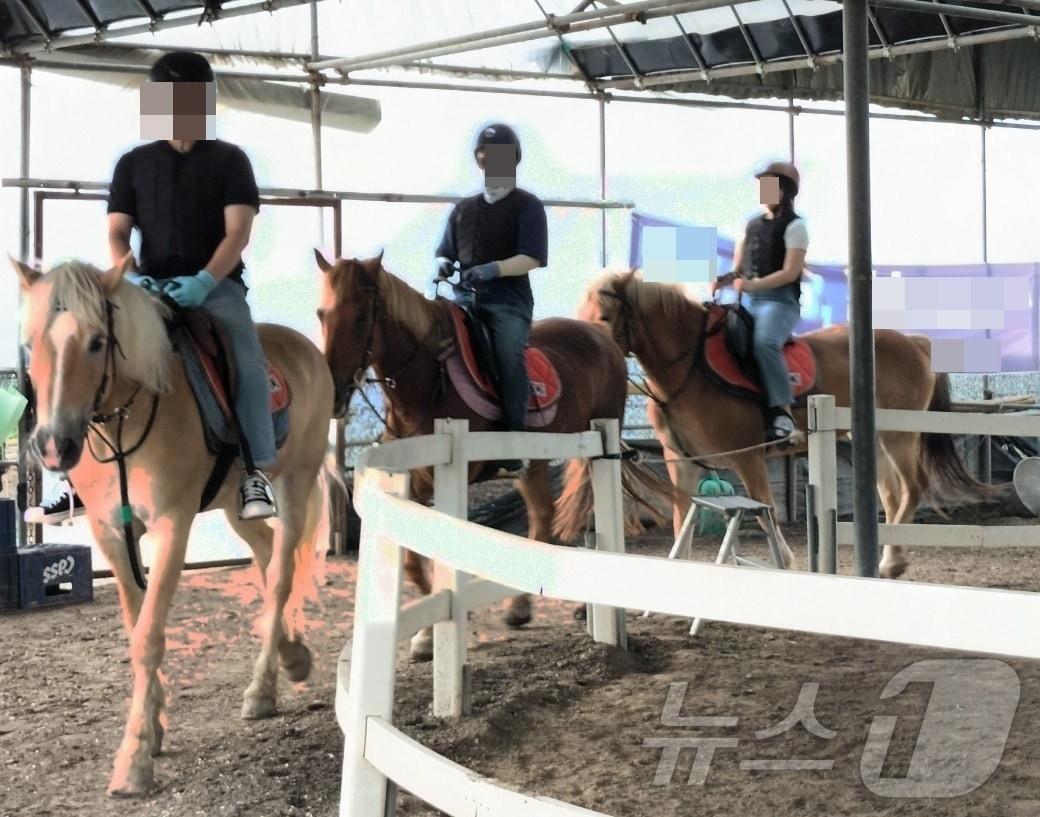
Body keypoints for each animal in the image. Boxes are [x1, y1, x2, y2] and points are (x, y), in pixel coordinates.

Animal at [12, 256, 332, 794]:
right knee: (267, 556)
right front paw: (155, 727)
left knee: (282, 572)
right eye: (32, 342)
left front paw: (136, 757)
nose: (55, 446)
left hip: (296, 481)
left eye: (97, 341)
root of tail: (306, 347)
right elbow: (135, 623)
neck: (127, 418)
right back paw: (292, 654)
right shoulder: (111, 534)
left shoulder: (170, 528)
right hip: (233, 506)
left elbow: (148, 636)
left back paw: (262, 689)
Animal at [582, 270, 994, 577]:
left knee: (913, 486)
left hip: (899, 434)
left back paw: (892, 560)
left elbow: (766, 512)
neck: (691, 368)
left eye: (604, 316)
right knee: (892, 495)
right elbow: (682, 521)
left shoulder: (748, 458)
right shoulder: (679, 462)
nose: (594, 351)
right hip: (873, 438)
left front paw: (788, 561)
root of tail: (915, 342)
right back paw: (887, 561)